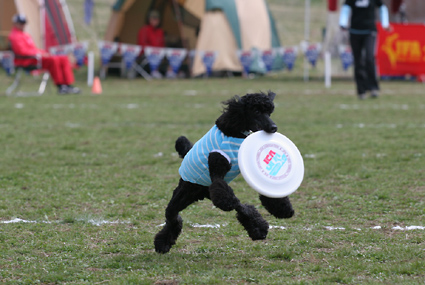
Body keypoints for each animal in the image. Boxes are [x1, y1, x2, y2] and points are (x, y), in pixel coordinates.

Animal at [154, 91, 294, 253]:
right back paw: (163, 243)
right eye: (256, 111)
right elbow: (229, 198)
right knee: (173, 217)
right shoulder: (217, 168)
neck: (233, 131)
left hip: (205, 193)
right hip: (183, 194)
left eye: (269, 112)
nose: (273, 127)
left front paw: (282, 209)